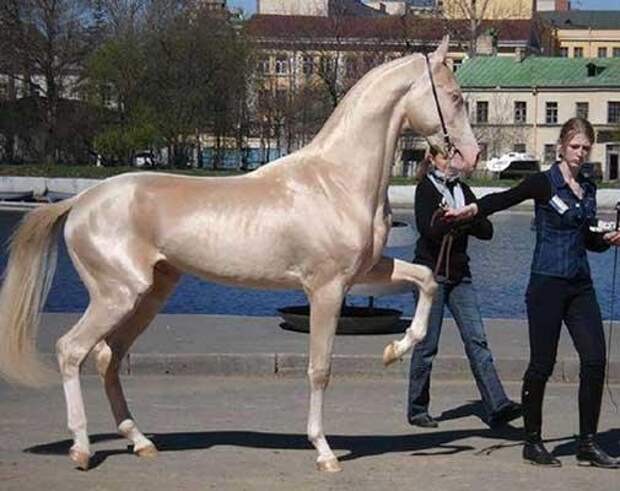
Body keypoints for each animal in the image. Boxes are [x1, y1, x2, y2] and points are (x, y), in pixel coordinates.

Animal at [0, 37, 480, 472]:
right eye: (456, 97)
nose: (471, 156)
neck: (337, 180)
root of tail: (80, 202)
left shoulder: (365, 272)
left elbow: (427, 280)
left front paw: (395, 349)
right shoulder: (326, 289)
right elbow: (319, 368)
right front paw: (324, 451)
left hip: (147, 296)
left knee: (108, 357)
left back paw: (141, 442)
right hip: (116, 295)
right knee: (71, 350)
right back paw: (81, 449)